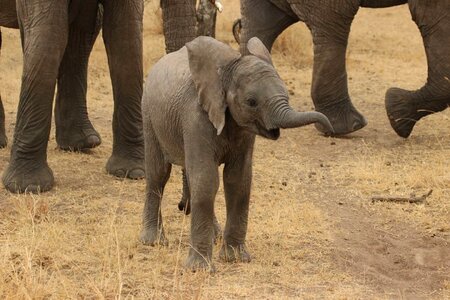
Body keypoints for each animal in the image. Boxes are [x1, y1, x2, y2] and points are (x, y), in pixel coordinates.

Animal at [142, 36, 334, 270]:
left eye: (287, 94)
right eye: (251, 102)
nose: (329, 128)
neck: (227, 71)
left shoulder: (244, 131)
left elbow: (238, 181)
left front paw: (235, 258)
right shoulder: (195, 117)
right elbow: (206, 181)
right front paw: (199, 269)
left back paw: (215, 236)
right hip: (149, 115)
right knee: (158, 174)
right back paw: (153, 241)